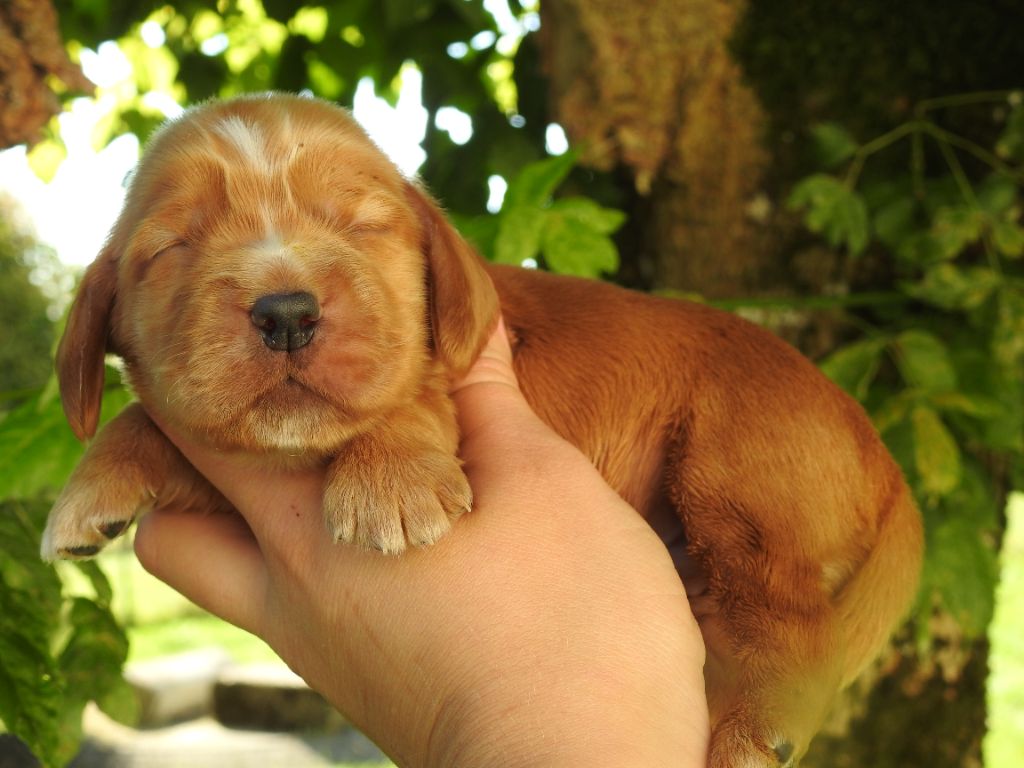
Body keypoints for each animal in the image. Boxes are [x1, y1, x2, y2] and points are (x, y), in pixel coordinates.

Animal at [41, 94, 921, 768]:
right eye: (171, 247)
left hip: (738, 486)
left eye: (363, 227)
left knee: (798, 630)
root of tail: (885, 459)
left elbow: (416, 393)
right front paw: (91, 487)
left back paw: (755, 733)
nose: (286, 312)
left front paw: (390, 482)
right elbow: (154, 416)